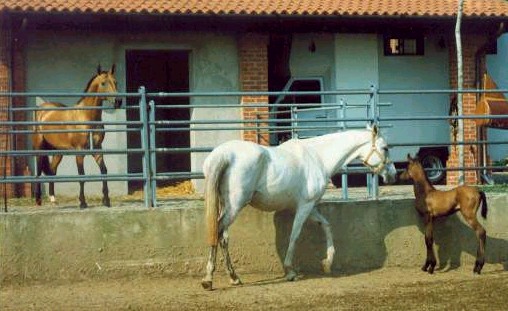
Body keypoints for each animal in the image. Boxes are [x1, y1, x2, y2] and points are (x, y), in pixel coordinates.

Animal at [32, 65, 122, 210]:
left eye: (116, 82)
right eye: (103, 83)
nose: (118, 101)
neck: (87, 117)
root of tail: (42, 109)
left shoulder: (97, 149)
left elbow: (104, 170)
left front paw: (106, 201)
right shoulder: (80, 152)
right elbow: (81, 175)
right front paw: (83, 202)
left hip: (58, 152)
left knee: (52, 170)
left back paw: (53, 199)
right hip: (39, 148)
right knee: (39, 171)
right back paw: (38, 200)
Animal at [201, 124, 396, 290]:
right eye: (386, 148)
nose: (393, 175)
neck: (318, 157)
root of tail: (224, 154)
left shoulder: (310, 207)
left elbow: (326, 225)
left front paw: (327, 263)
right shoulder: (305, 206)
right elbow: (295, 235)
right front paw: (290, 271)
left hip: (227, 205)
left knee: (223, 237)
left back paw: (234, 277)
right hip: (235, 205)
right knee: (218, 231)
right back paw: (208, 279)